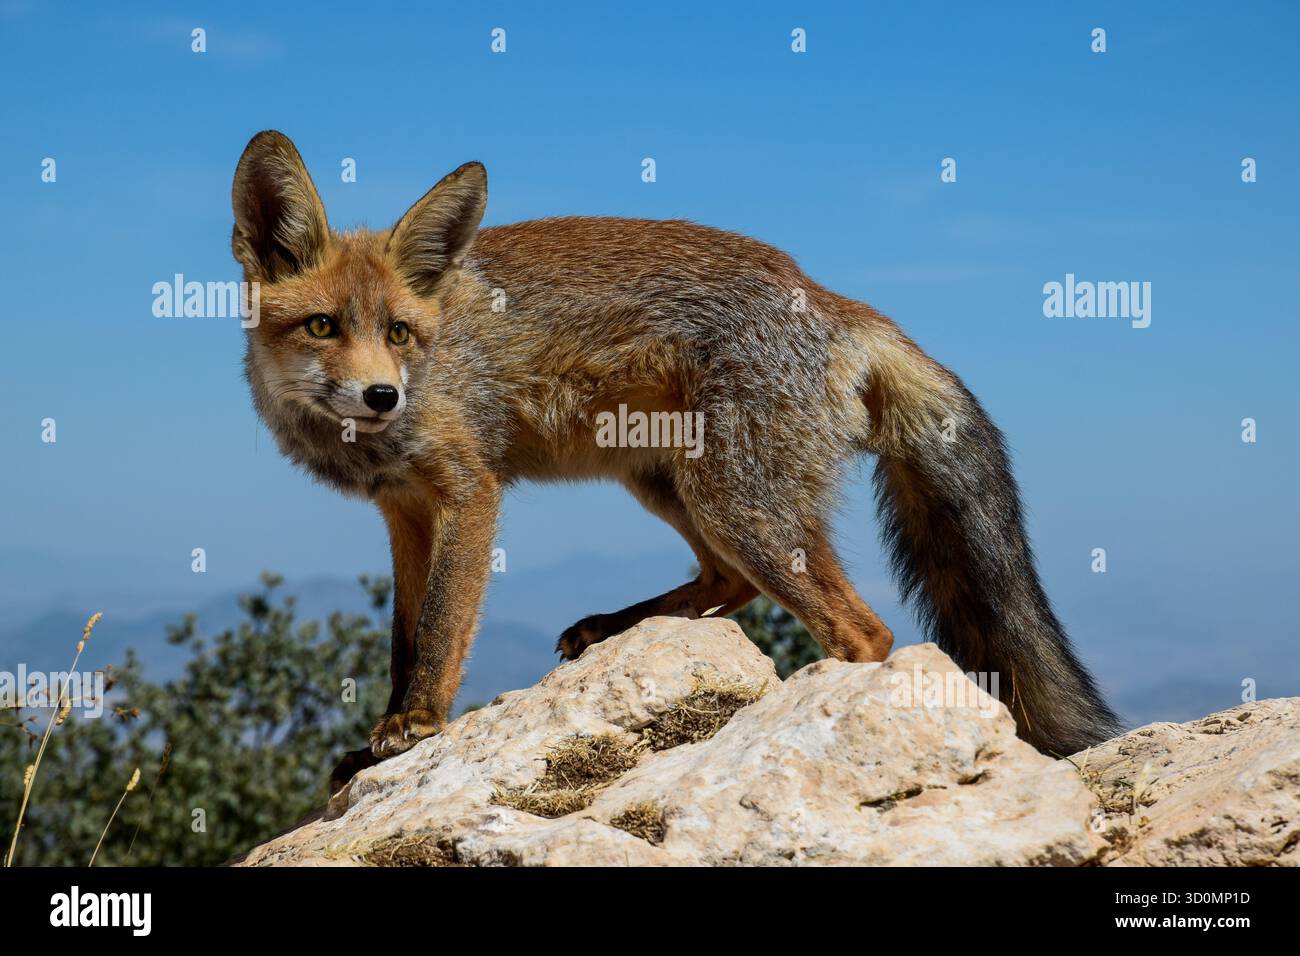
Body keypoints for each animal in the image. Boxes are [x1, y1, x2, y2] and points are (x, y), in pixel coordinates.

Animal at [231, 130, 1121, 792]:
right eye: (322, 327)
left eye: (399, 333)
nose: (383, 397)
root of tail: (827, 296)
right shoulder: (404, 512)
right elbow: (404, 639)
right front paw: (374, 740)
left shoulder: (468, 492)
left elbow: (442, 630)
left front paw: (416, 727)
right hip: (666, 483)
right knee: (725, 581)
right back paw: (616, 627)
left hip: (734, 502)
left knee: (862, 630)